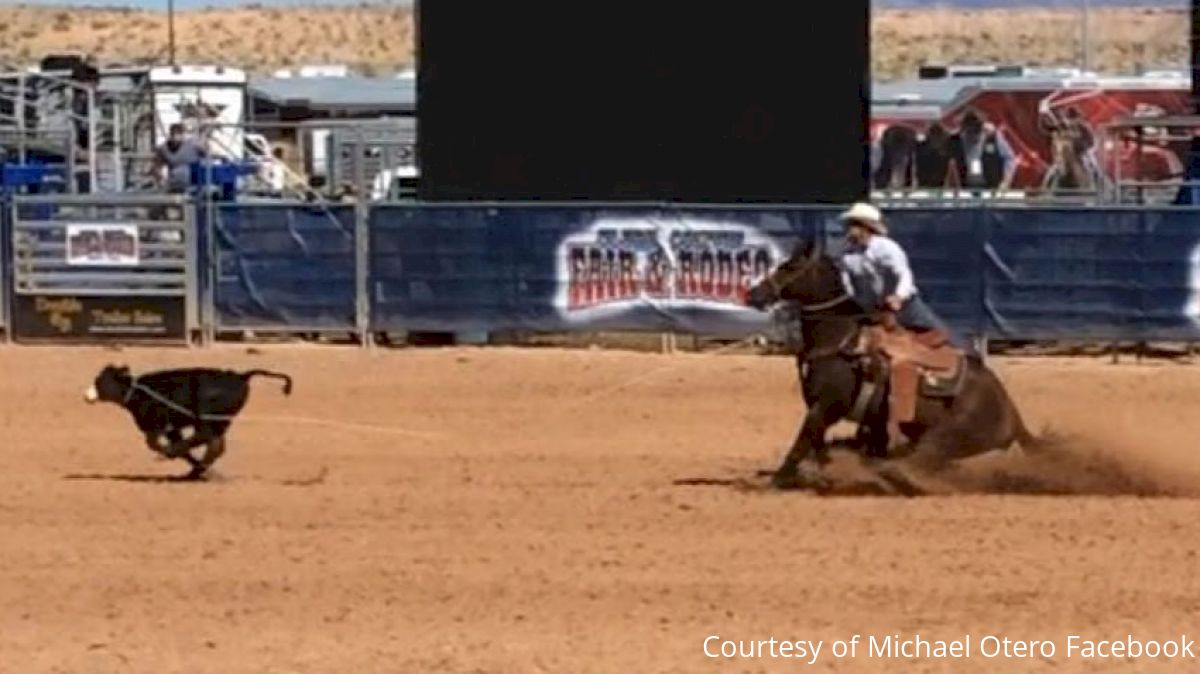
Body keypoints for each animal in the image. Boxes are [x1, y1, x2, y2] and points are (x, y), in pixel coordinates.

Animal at [85, 362, 292, 477]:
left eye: (100, 381)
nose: (86, 396)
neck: (139, 392)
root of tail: (240, 376)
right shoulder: (171, 428)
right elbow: (178, 447)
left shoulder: (158, 425)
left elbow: (154, 444)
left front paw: (168, 453)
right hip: (220, 421)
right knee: (215, 445)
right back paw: (196, 471)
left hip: (207, 418)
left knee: (206, 438)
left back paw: (180, 461)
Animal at [739, 239, 1041, 486]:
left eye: (789, 267)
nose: (754, 294)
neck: (842, 339)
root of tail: (1011, 414)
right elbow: (817, 445)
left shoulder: (824, 407)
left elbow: (802, 441)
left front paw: (779, 479)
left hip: (949, 435)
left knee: (921, 459)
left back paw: (893, 474)